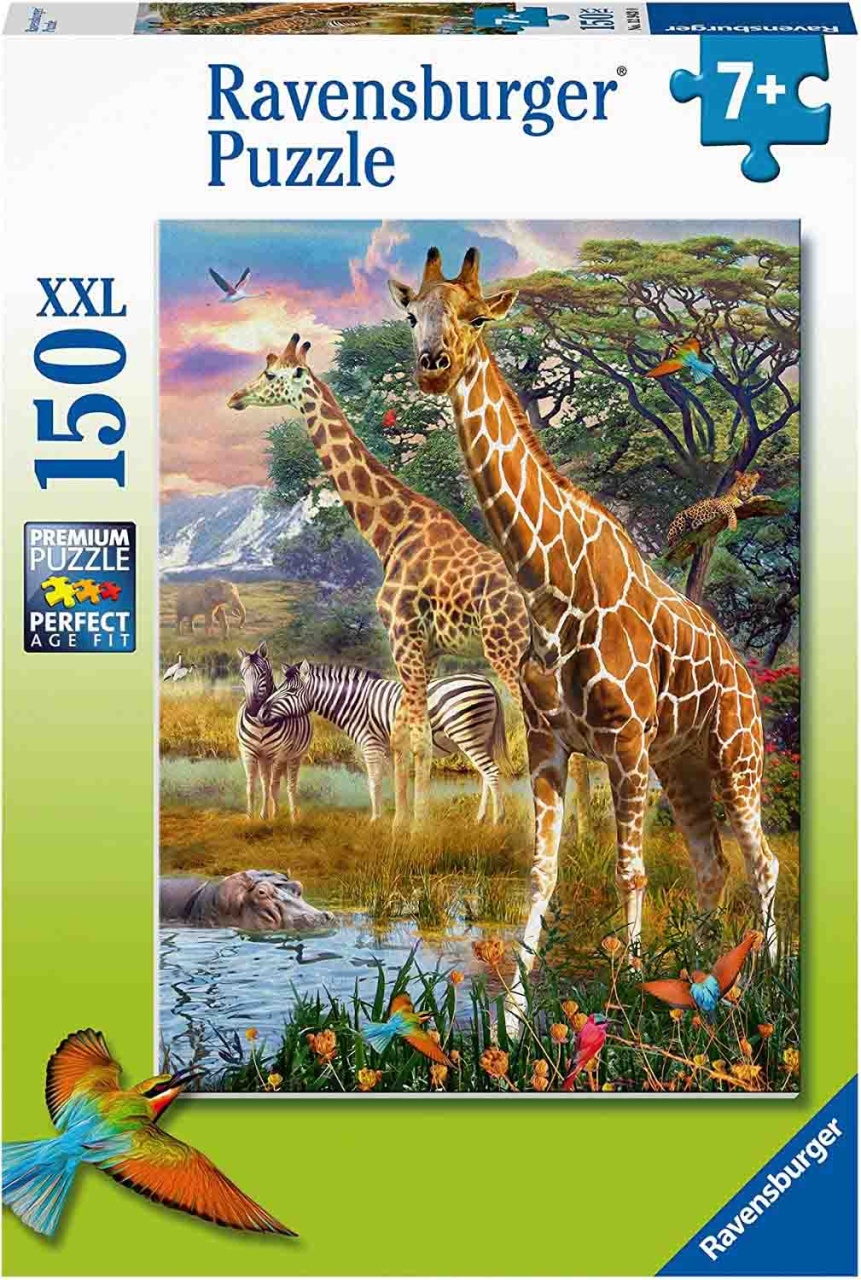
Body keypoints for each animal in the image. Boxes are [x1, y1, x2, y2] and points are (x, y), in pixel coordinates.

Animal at [228, 334, 547, 827]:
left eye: (270, 375)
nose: (235, 398)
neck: (391, 531)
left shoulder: (402, 634)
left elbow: (413, 739)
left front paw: (412, 828)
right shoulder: (427, 647)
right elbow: (408, 736)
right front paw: (406, 821)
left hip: (507, 649)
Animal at [391, 247, 779, 1021]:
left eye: (477, 318)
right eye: (412, 315)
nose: (433, 365)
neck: (550, 589)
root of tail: (744, 677)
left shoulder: (624, 746)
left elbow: (629, 871)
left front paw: (625, 994)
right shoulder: (549, 745)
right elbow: (540, 874)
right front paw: (513, 1020)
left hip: (735, 755)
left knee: (763, 860)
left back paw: (764, 985)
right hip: (682, 766)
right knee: (711, 862)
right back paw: (706, 980)